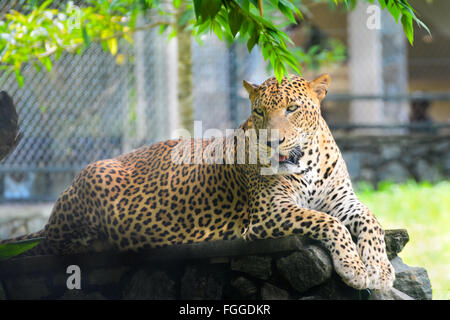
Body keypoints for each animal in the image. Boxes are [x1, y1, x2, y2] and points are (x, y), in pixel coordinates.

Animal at [0, 74, 394, 292]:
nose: (272, 142)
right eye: (259, 112)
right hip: (92, 180)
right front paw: (355, 268)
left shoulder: (342, 200)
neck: (307, 160)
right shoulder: (270, 212)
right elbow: (327, 223)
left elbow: (371, 219)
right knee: (53, 246)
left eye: (292, 109)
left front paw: (380, 268)